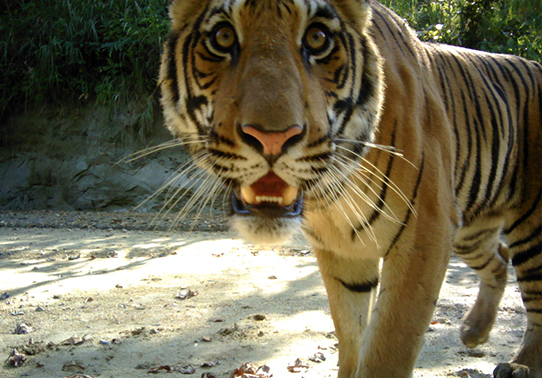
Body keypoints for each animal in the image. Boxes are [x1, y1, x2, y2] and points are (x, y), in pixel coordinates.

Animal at [159, 0, 542, 378]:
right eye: (223, 37)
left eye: (317, 39)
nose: (272, 138)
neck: (333, 196)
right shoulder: (344, 252)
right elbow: (350, 333)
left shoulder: (426, 232)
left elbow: (389, 348)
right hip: (469, 228)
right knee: (499, 259)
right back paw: (474, 332)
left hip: (530, 227)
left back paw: (520, 365)